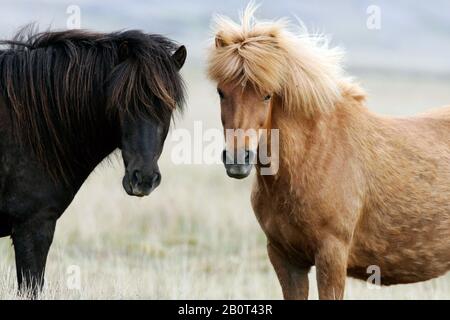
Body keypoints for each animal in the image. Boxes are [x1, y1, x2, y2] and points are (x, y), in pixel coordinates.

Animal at [208, 5, 450, 300]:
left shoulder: (331, 255)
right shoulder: (285, 259)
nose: (236, 159)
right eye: (221, 92)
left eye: (267, 95)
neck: (313, 155)